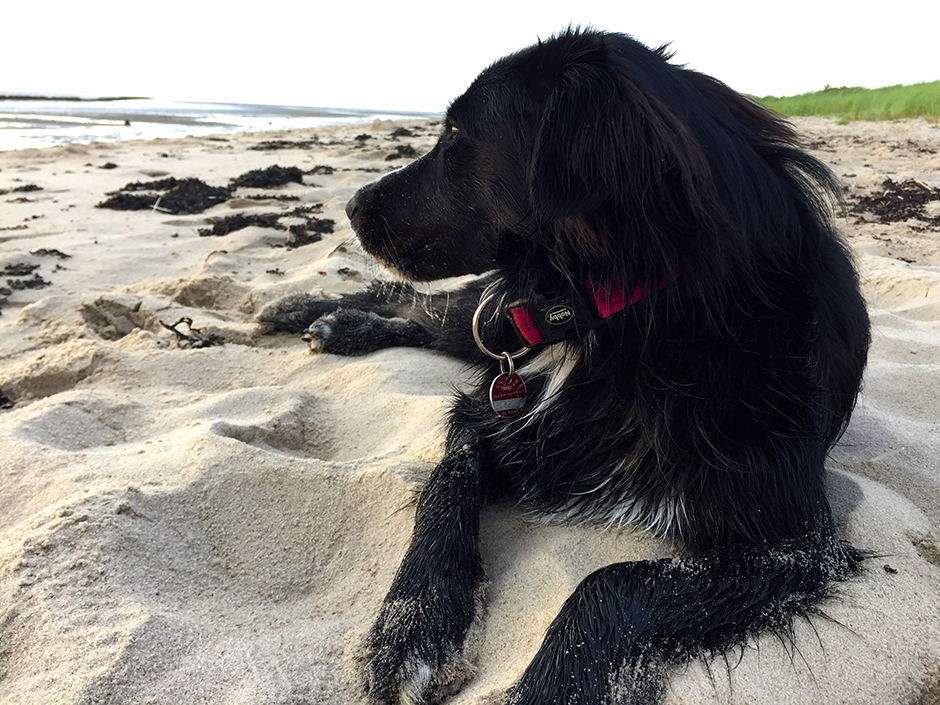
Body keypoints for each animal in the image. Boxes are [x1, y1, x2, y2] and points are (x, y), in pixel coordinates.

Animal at [260, 27, 872, 704]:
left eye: (456, 134)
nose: (348, 205)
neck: (627, 314)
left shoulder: (793, 543)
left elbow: (610, 582)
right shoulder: (496, 415)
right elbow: (446, 484)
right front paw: (412, 623)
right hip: (492, 318)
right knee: (418, 306)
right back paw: (310, 312)